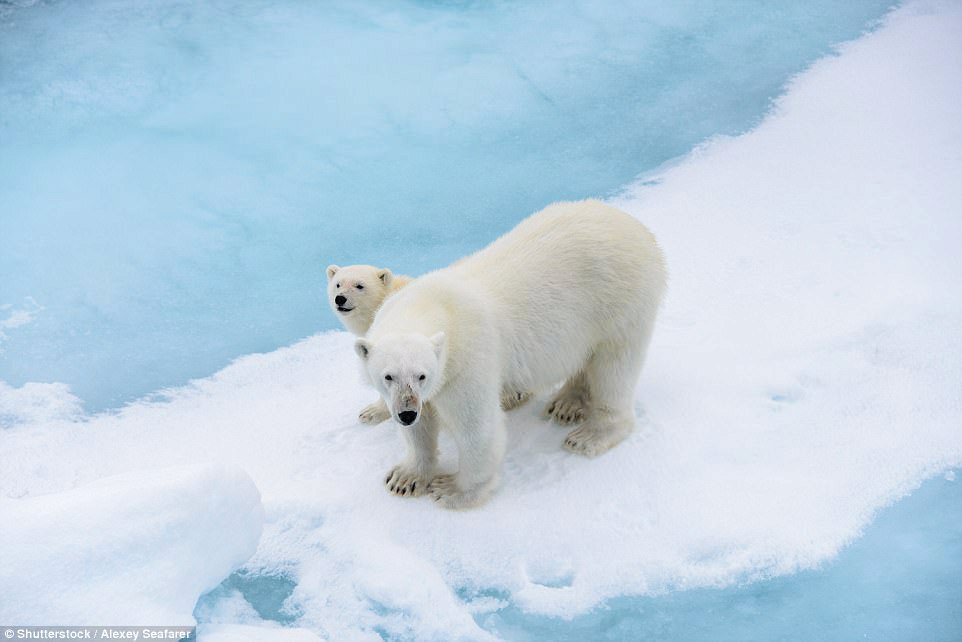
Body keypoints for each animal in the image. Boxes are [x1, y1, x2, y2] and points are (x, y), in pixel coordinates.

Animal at [356, 198, 664, 508]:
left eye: (422, 375)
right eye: (388, 376)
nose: (407, 413)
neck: (432, 304)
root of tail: (639, 228)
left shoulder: (467, 360)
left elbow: (476, 426)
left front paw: (453, 490)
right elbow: (419, 430)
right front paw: (404, 478)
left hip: (619, 301)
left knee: (615, 368)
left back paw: (589, 435)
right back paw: (566, 404)